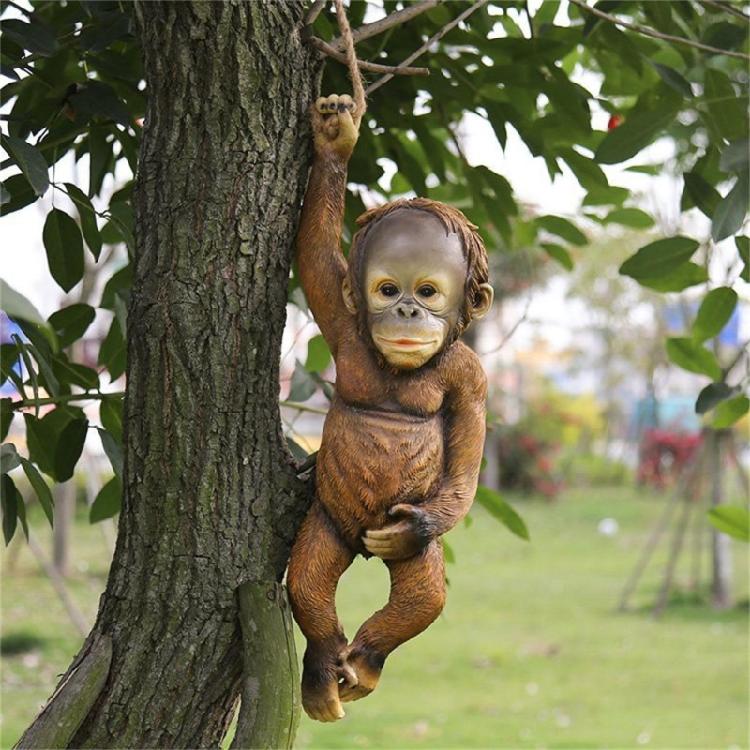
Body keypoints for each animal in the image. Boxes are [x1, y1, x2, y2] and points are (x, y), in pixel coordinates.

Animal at [287, 93, 494, 723]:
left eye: (426, 291)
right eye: (385, 288)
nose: (405, 310)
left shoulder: (471, 377)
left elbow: (466, 467)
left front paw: (415, 528)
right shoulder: (342, 324)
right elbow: (315, 257)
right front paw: (336, 138)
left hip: (399, 545)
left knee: (423, 595)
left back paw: (365, 662)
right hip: (329, 521)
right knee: (307, 580)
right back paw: (325, 671)